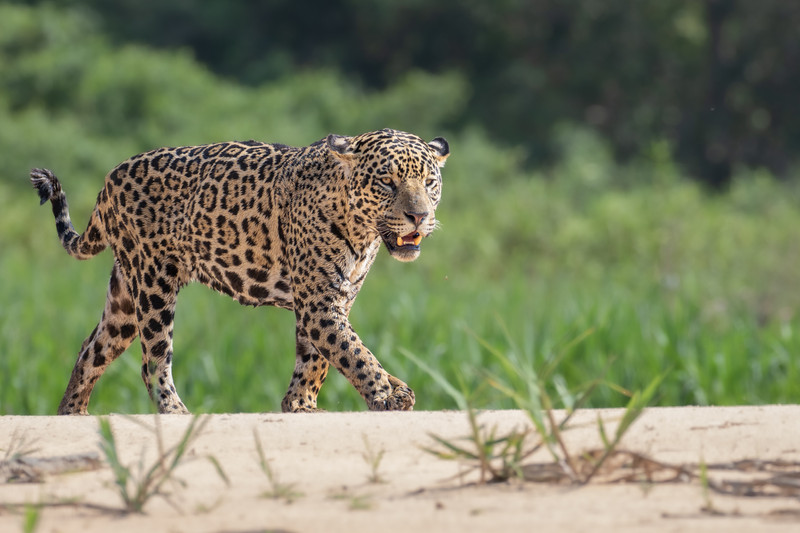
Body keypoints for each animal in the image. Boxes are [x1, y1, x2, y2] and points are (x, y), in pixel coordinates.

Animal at [29, 128, 449, 415]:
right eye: (387, 182)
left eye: (430, 183)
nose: (419, 216)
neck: (362, 232)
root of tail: (109, 178)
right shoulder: (319, 304)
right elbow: (353, 351)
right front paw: (385, 394)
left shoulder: (332, 302)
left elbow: (317, 358)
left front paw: (301, 404)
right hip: (153, 285)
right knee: (154, 361)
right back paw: (176, 412)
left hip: (124, 300)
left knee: (92, 349)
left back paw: (72, 413)